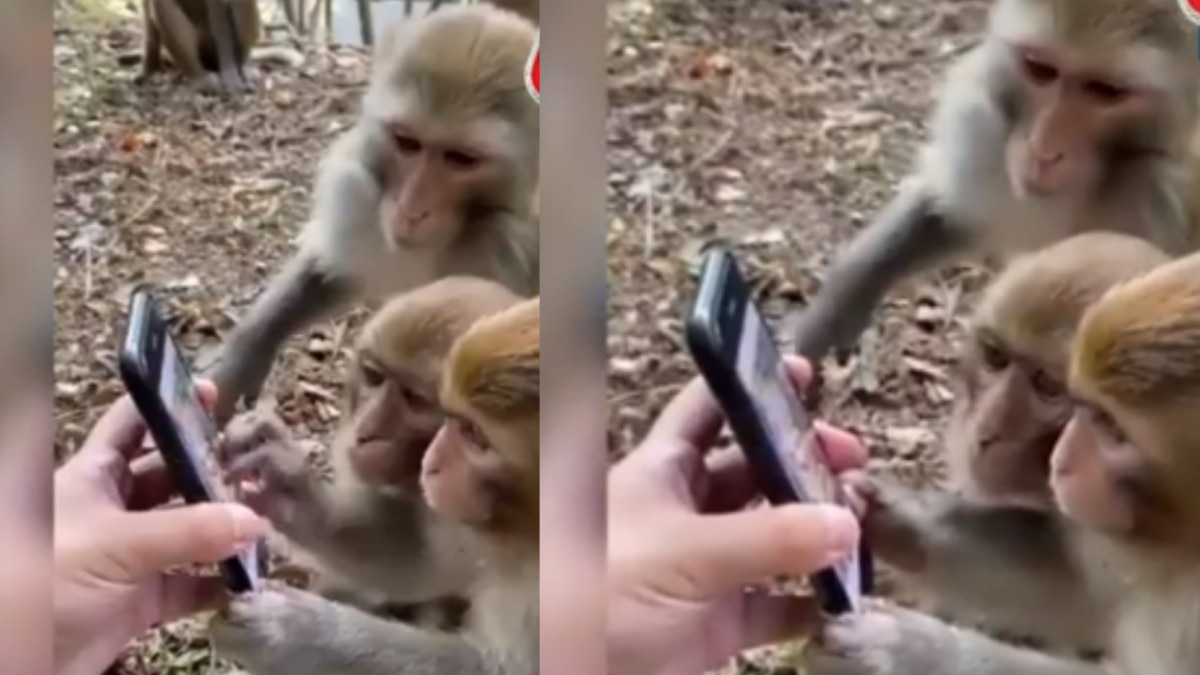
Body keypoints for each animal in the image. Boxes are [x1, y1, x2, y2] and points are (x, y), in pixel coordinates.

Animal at [202, 4, 540, 425]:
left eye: (462, 159)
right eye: (406, 142)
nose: (411, 209)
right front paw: (244, 355)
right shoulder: (363, 205)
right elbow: (332, 274)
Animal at [209, 297, 541, 675]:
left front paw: (288, 629)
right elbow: (421, 563)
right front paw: (279, 477)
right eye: (455, 420)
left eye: (474, 434)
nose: (432, 463)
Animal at [787, 0, 1200, 366]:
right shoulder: (986, 136)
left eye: (1106, 91)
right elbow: (951, 215)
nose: (1042, 150)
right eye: (1039, 69)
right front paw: (844, 300)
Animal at [801, 251, 1200, 675]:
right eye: (1086, 409)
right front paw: (880, 511)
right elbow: (1076, 590)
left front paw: (904, 651)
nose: (1062, 461)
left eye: (1111, 426)